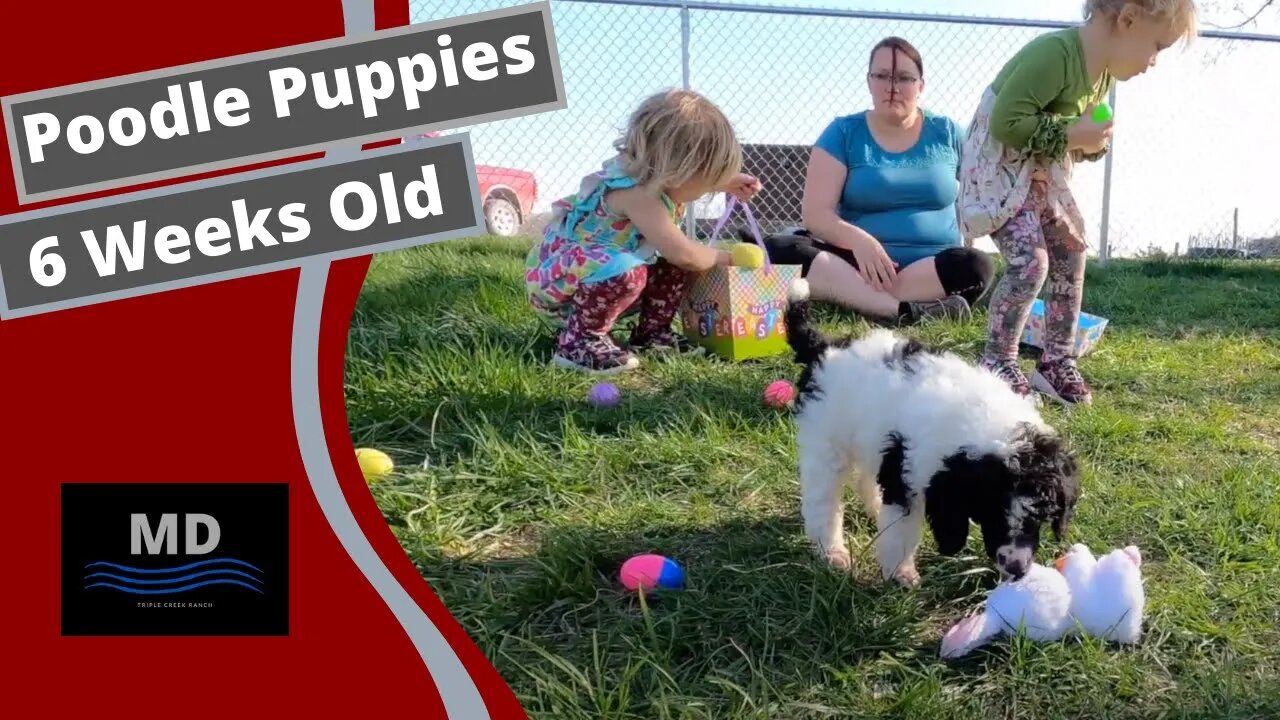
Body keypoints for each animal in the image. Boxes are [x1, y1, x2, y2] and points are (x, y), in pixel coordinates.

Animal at [778, 274, 1080, 584]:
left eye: (1040, 517)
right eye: (992, 510)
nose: (1017, 569)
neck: (985, 422)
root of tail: (824, 349)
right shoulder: (906, 474)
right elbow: (903, 532)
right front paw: (901, 573)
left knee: (864, 479)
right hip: (825, 442)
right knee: (822, 501)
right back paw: (832, 552)